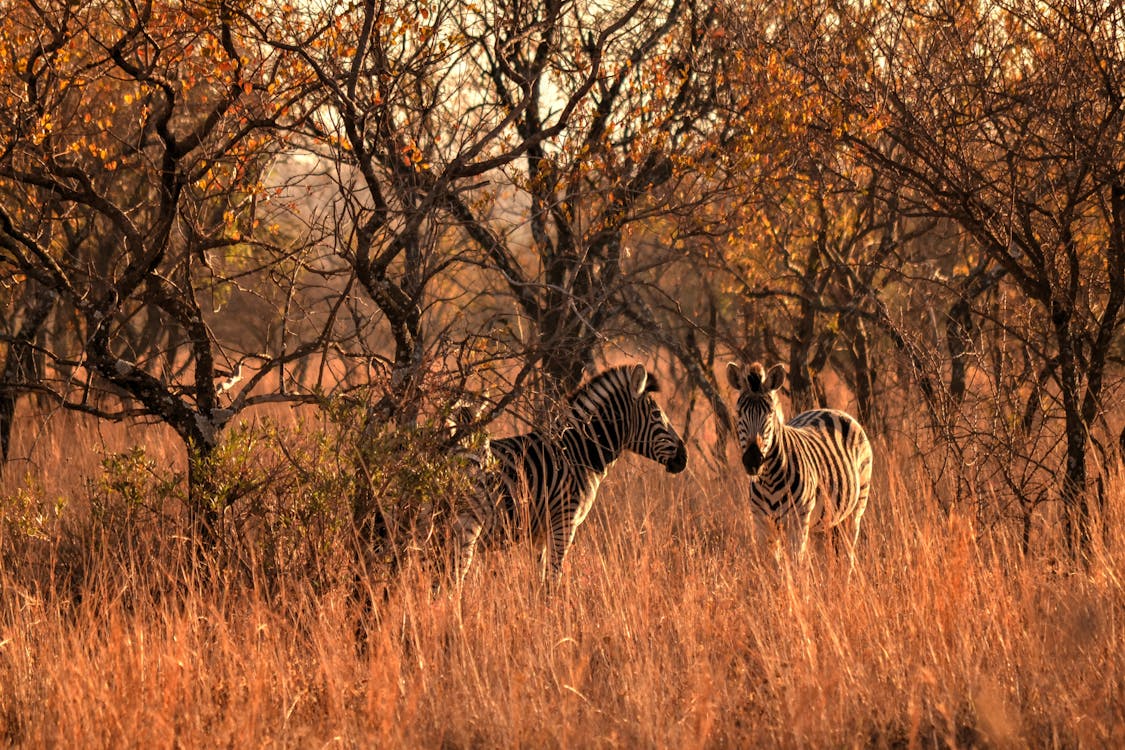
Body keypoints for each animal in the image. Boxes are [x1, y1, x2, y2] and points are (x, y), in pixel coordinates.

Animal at [454, 364, 684, 584]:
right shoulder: (564, 521)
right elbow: (554, 578)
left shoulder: (540, 532)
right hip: (467, 524)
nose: (684, 457)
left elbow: (540, 578)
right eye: (656, 414)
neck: (577, 453)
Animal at [724, 359, 873, 562]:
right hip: (821, 524)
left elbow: (796, 565)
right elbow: (771, 567)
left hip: (855, 509)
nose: (753, 460)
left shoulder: (798, 523)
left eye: (770, 413)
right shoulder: (761, 523)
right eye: (739, 413)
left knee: (847, 556)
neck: (769, 481)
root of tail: (829, 410)